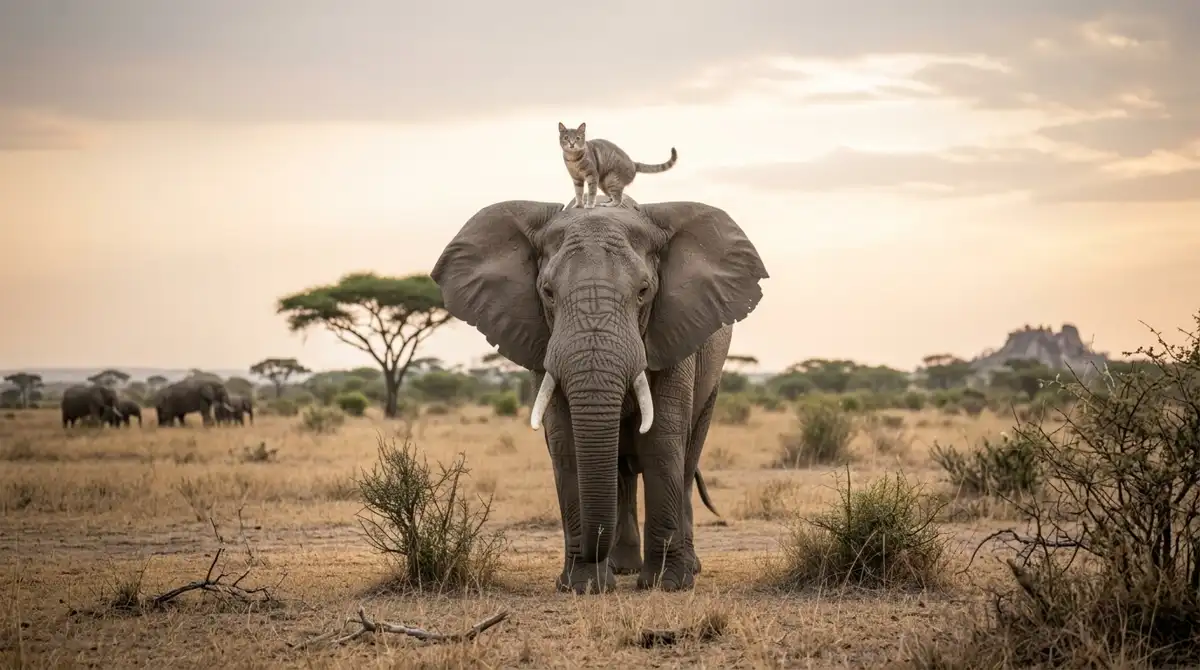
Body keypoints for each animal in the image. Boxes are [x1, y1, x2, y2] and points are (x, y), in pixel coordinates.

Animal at [432, 195, 768, 594]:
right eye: (548, 293)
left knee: (685, 460)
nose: (593, 552)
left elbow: (661, 440)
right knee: (622, 472)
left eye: (643, 292)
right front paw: (584, 586)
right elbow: (566, 444)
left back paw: (686, 568)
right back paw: (623, 567)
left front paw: (665, 585)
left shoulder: (675, 332)